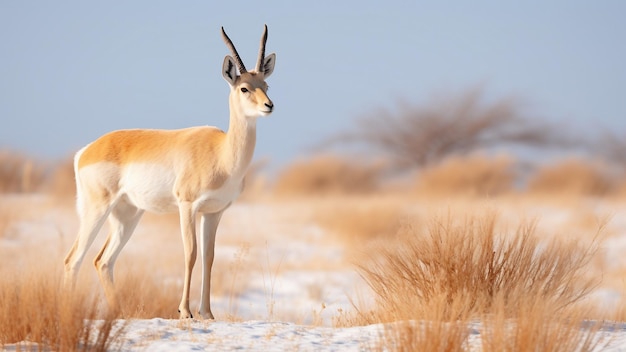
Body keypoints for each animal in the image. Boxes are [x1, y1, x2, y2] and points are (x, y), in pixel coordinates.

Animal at [62, 26, 272, 320]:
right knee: (73, 259)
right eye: (244, 87)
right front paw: (185, 311)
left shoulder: (214, 212)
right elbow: (191, 253)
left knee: (102, 261)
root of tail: (87, 151)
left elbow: (209, 257)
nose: (269, 105)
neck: (222, 154)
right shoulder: (187, 206)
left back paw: (119, 314)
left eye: (266, 85)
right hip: (97, 209)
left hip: (127, 215)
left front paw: (207, 313)